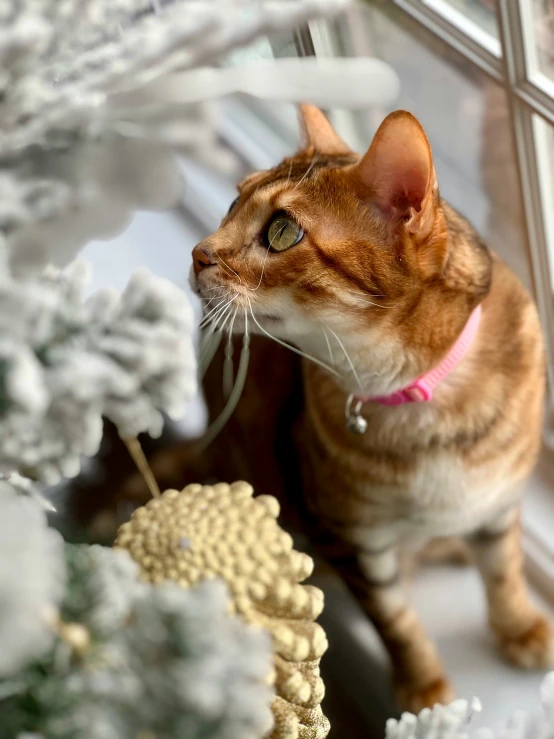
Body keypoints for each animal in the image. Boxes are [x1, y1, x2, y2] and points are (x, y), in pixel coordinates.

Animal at [128, 105, 548, 712]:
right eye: (233, 203)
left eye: (281, 230)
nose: (198, 253)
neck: (416, 397)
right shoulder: (348, 538)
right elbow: (396, 621)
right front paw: (424, 688)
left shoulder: (497, 499)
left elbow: (504, 571)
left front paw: (520, 627)